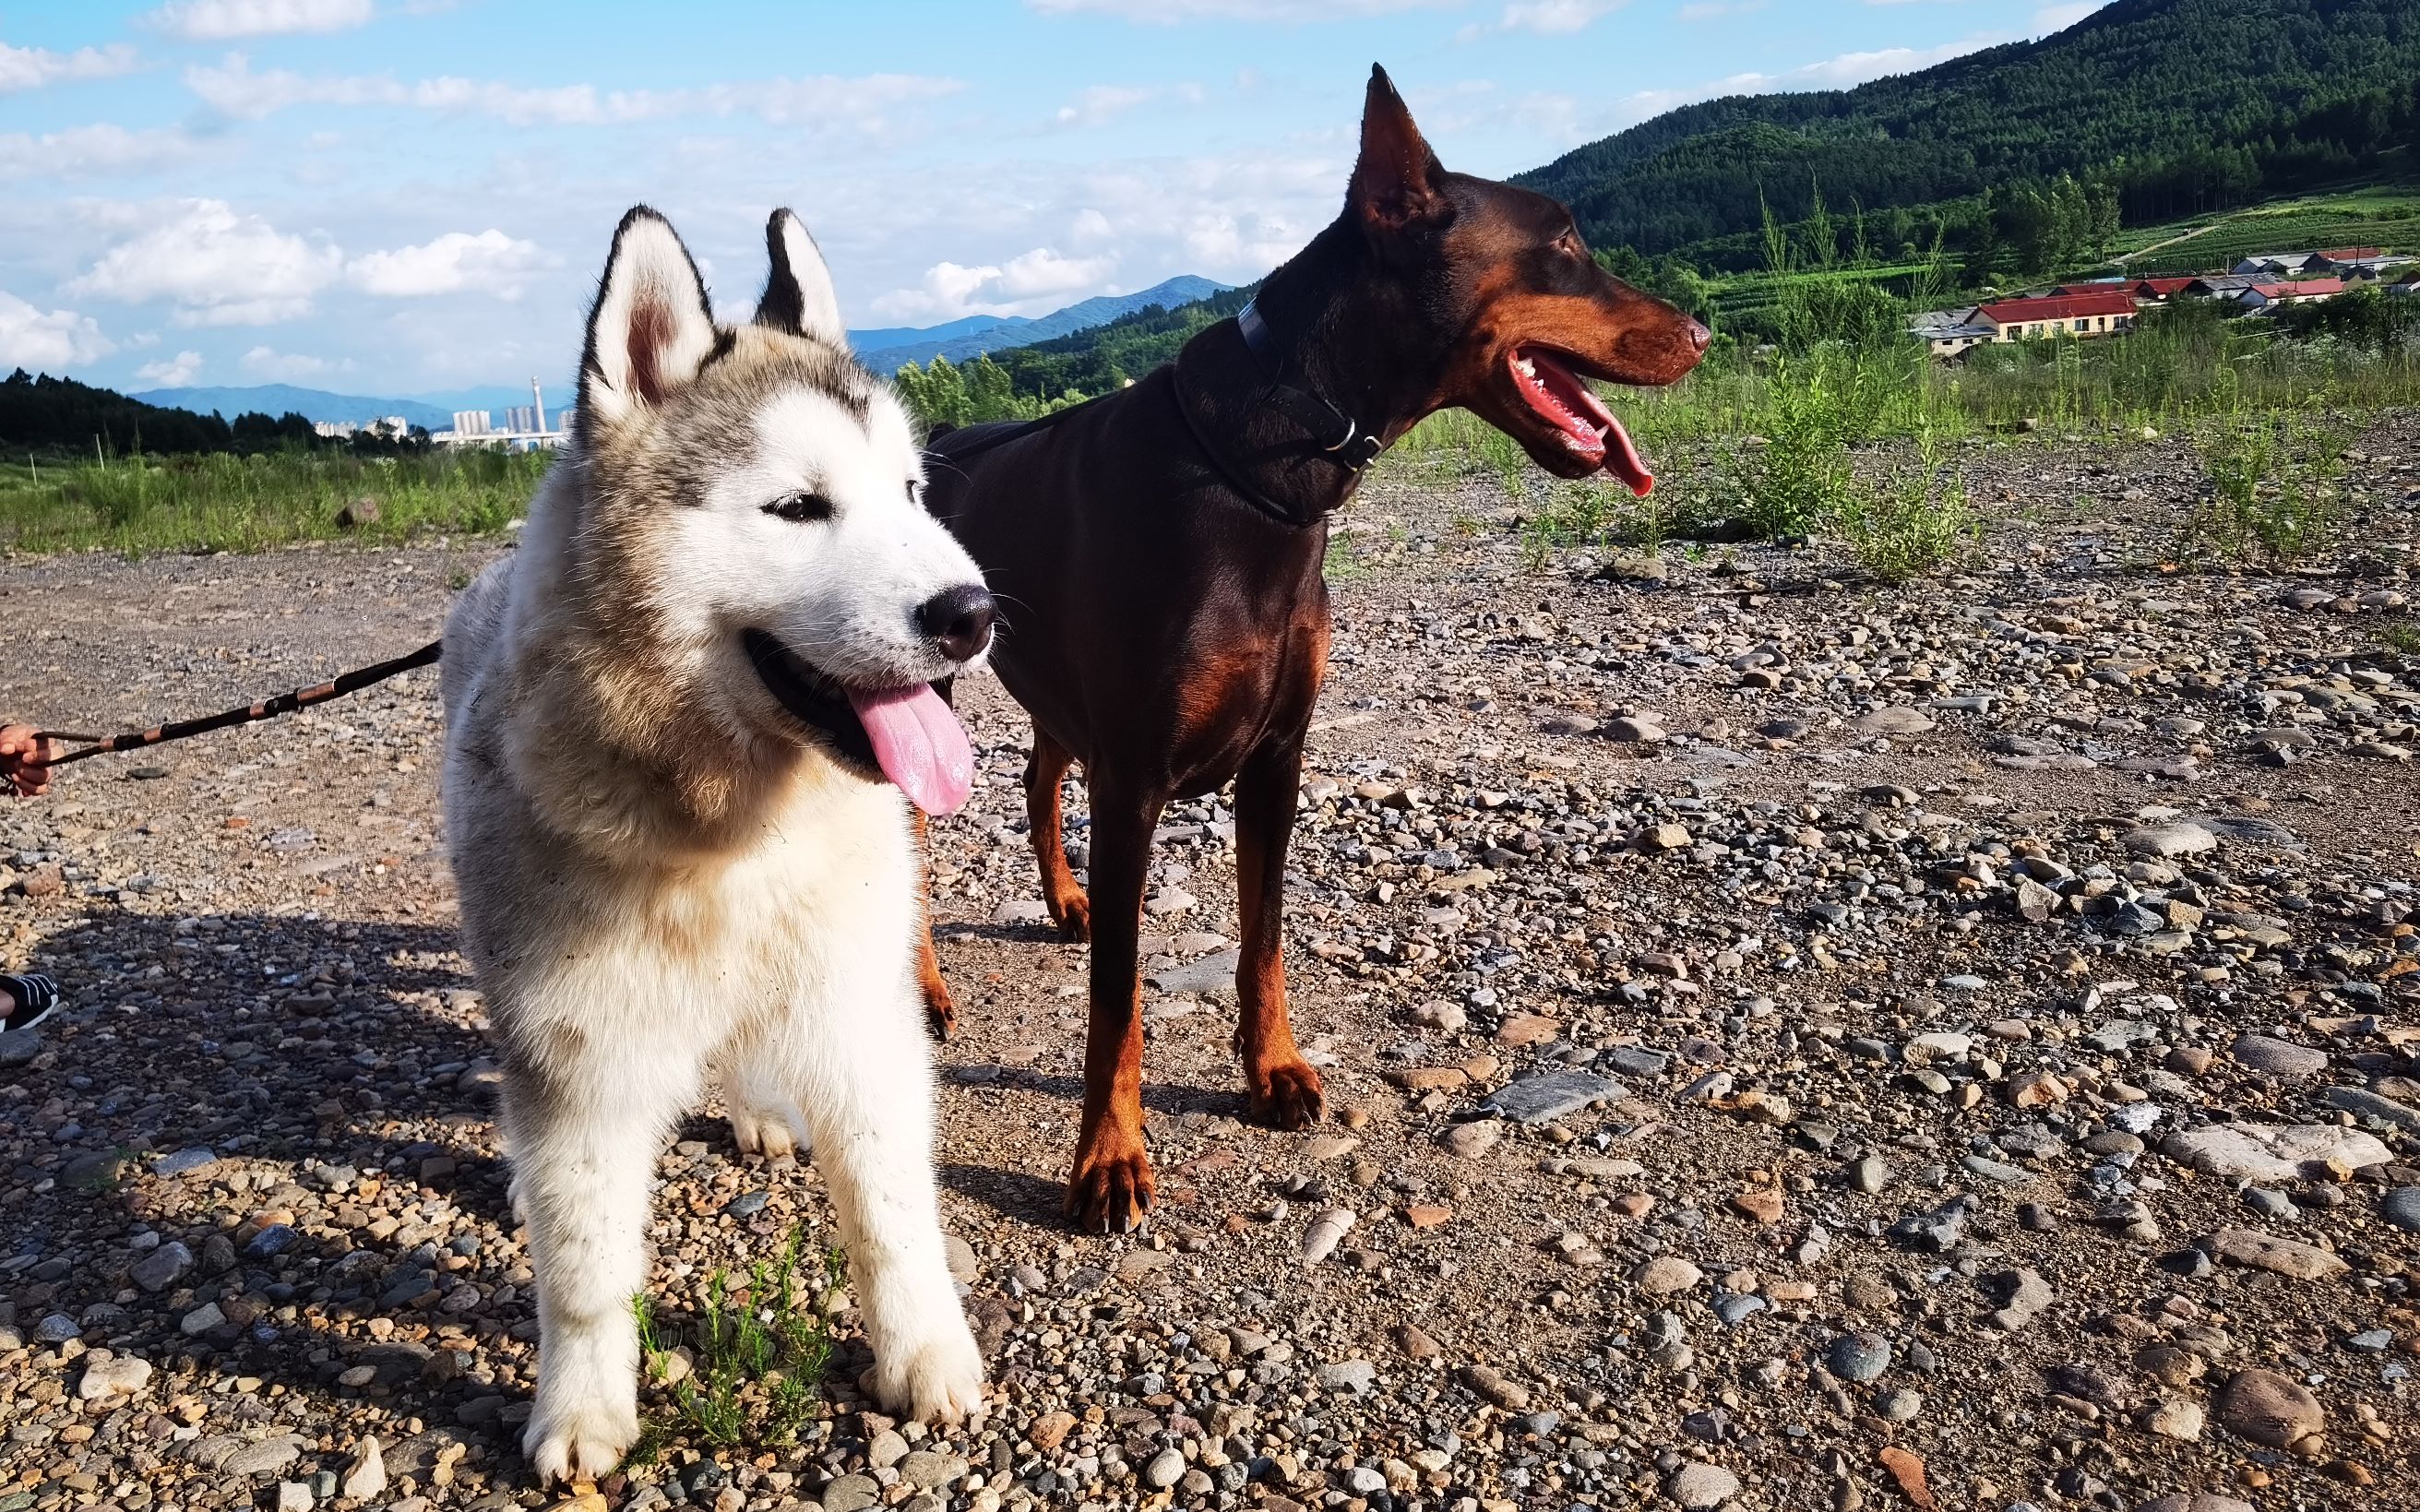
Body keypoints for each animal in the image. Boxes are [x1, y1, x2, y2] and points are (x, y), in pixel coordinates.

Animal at [440, 203, 987, 1470]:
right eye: (798, 508)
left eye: (911, 491)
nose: (973, 615)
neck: (726, 831)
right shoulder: (580, 1055)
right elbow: (585, 1266)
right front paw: (580, 1406)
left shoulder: (860, 1015)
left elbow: (894, 1216)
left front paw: (925, 1355)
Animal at [919, 65, 1703, 1233]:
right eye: (1562, 241)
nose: (1700, 330)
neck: (1260, 467)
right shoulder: (1136, 777)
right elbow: (1118, 995)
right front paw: (1108, 1155)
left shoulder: (1277, 752)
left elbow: (1263, 937)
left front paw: (1272, 1069)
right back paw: (925, 986)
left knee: (1039, 767)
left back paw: (1062, 900)